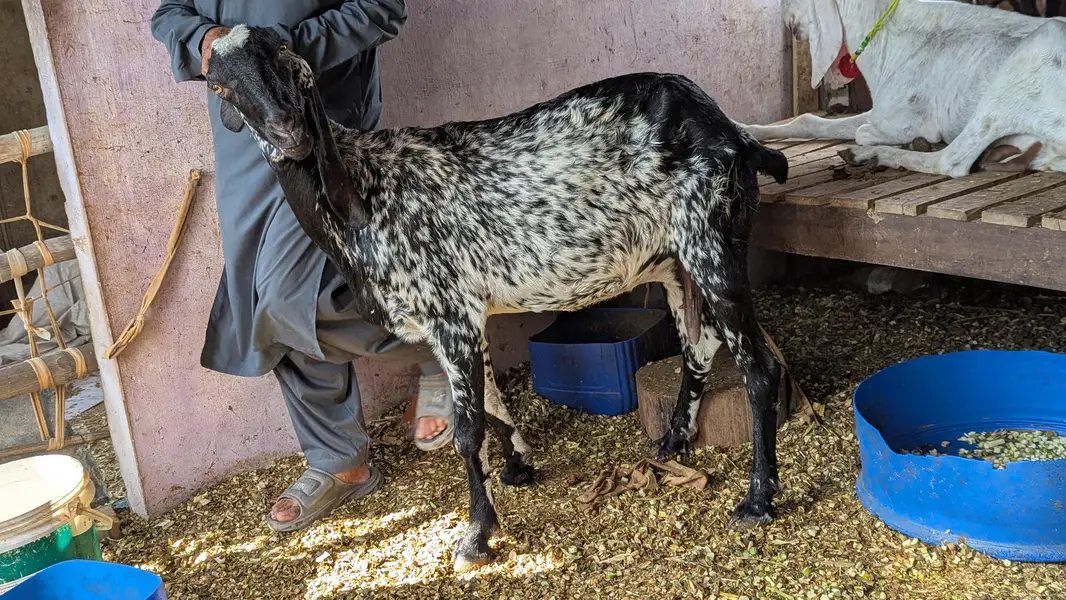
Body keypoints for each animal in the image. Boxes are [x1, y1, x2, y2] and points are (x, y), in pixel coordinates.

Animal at [205, 25, 789, 572]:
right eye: (220, 84)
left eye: (285, 56)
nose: (290, 132)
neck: (365, 187)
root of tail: (730, 130)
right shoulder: (465, 318)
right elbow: (493, 403)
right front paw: (518, 466)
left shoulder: (450, 315)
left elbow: (468, 431)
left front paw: (475, 536)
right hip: (673, 262)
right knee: (699, 344)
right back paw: (673, 440)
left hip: (712, 243)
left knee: (758, 367)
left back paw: (758, 499)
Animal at [742, 0, 1066, 177]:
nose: (787, 23)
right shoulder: (882, 111)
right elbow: (809, 121)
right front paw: (746, 129)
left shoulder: (905, 121)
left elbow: (865, 131)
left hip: (1034, 52)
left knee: (950, 161)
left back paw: (871, 155)